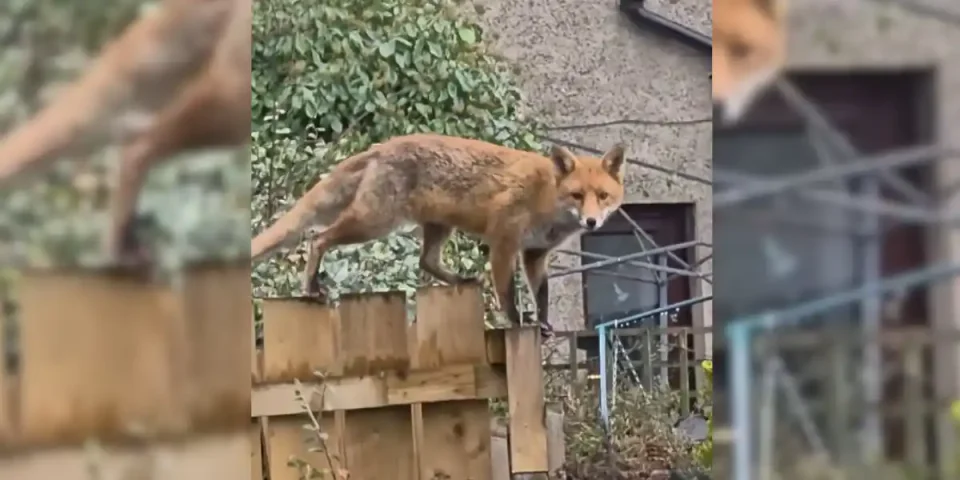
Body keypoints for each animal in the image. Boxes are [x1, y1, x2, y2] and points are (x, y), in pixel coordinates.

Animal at [251, 134, 626, 334]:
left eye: (602, 196)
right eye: (577, 195)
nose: (591, 223)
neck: (546, 197)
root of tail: (382, 145)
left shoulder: (534, 253)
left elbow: (542, 294)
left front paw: (544, 323)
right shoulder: (503, 241)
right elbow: (506, 292)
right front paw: (517, 321)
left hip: (437, 228)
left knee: (426, 262)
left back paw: (460, 280)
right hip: (373, 222)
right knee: (318, 239)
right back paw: (312, 287)